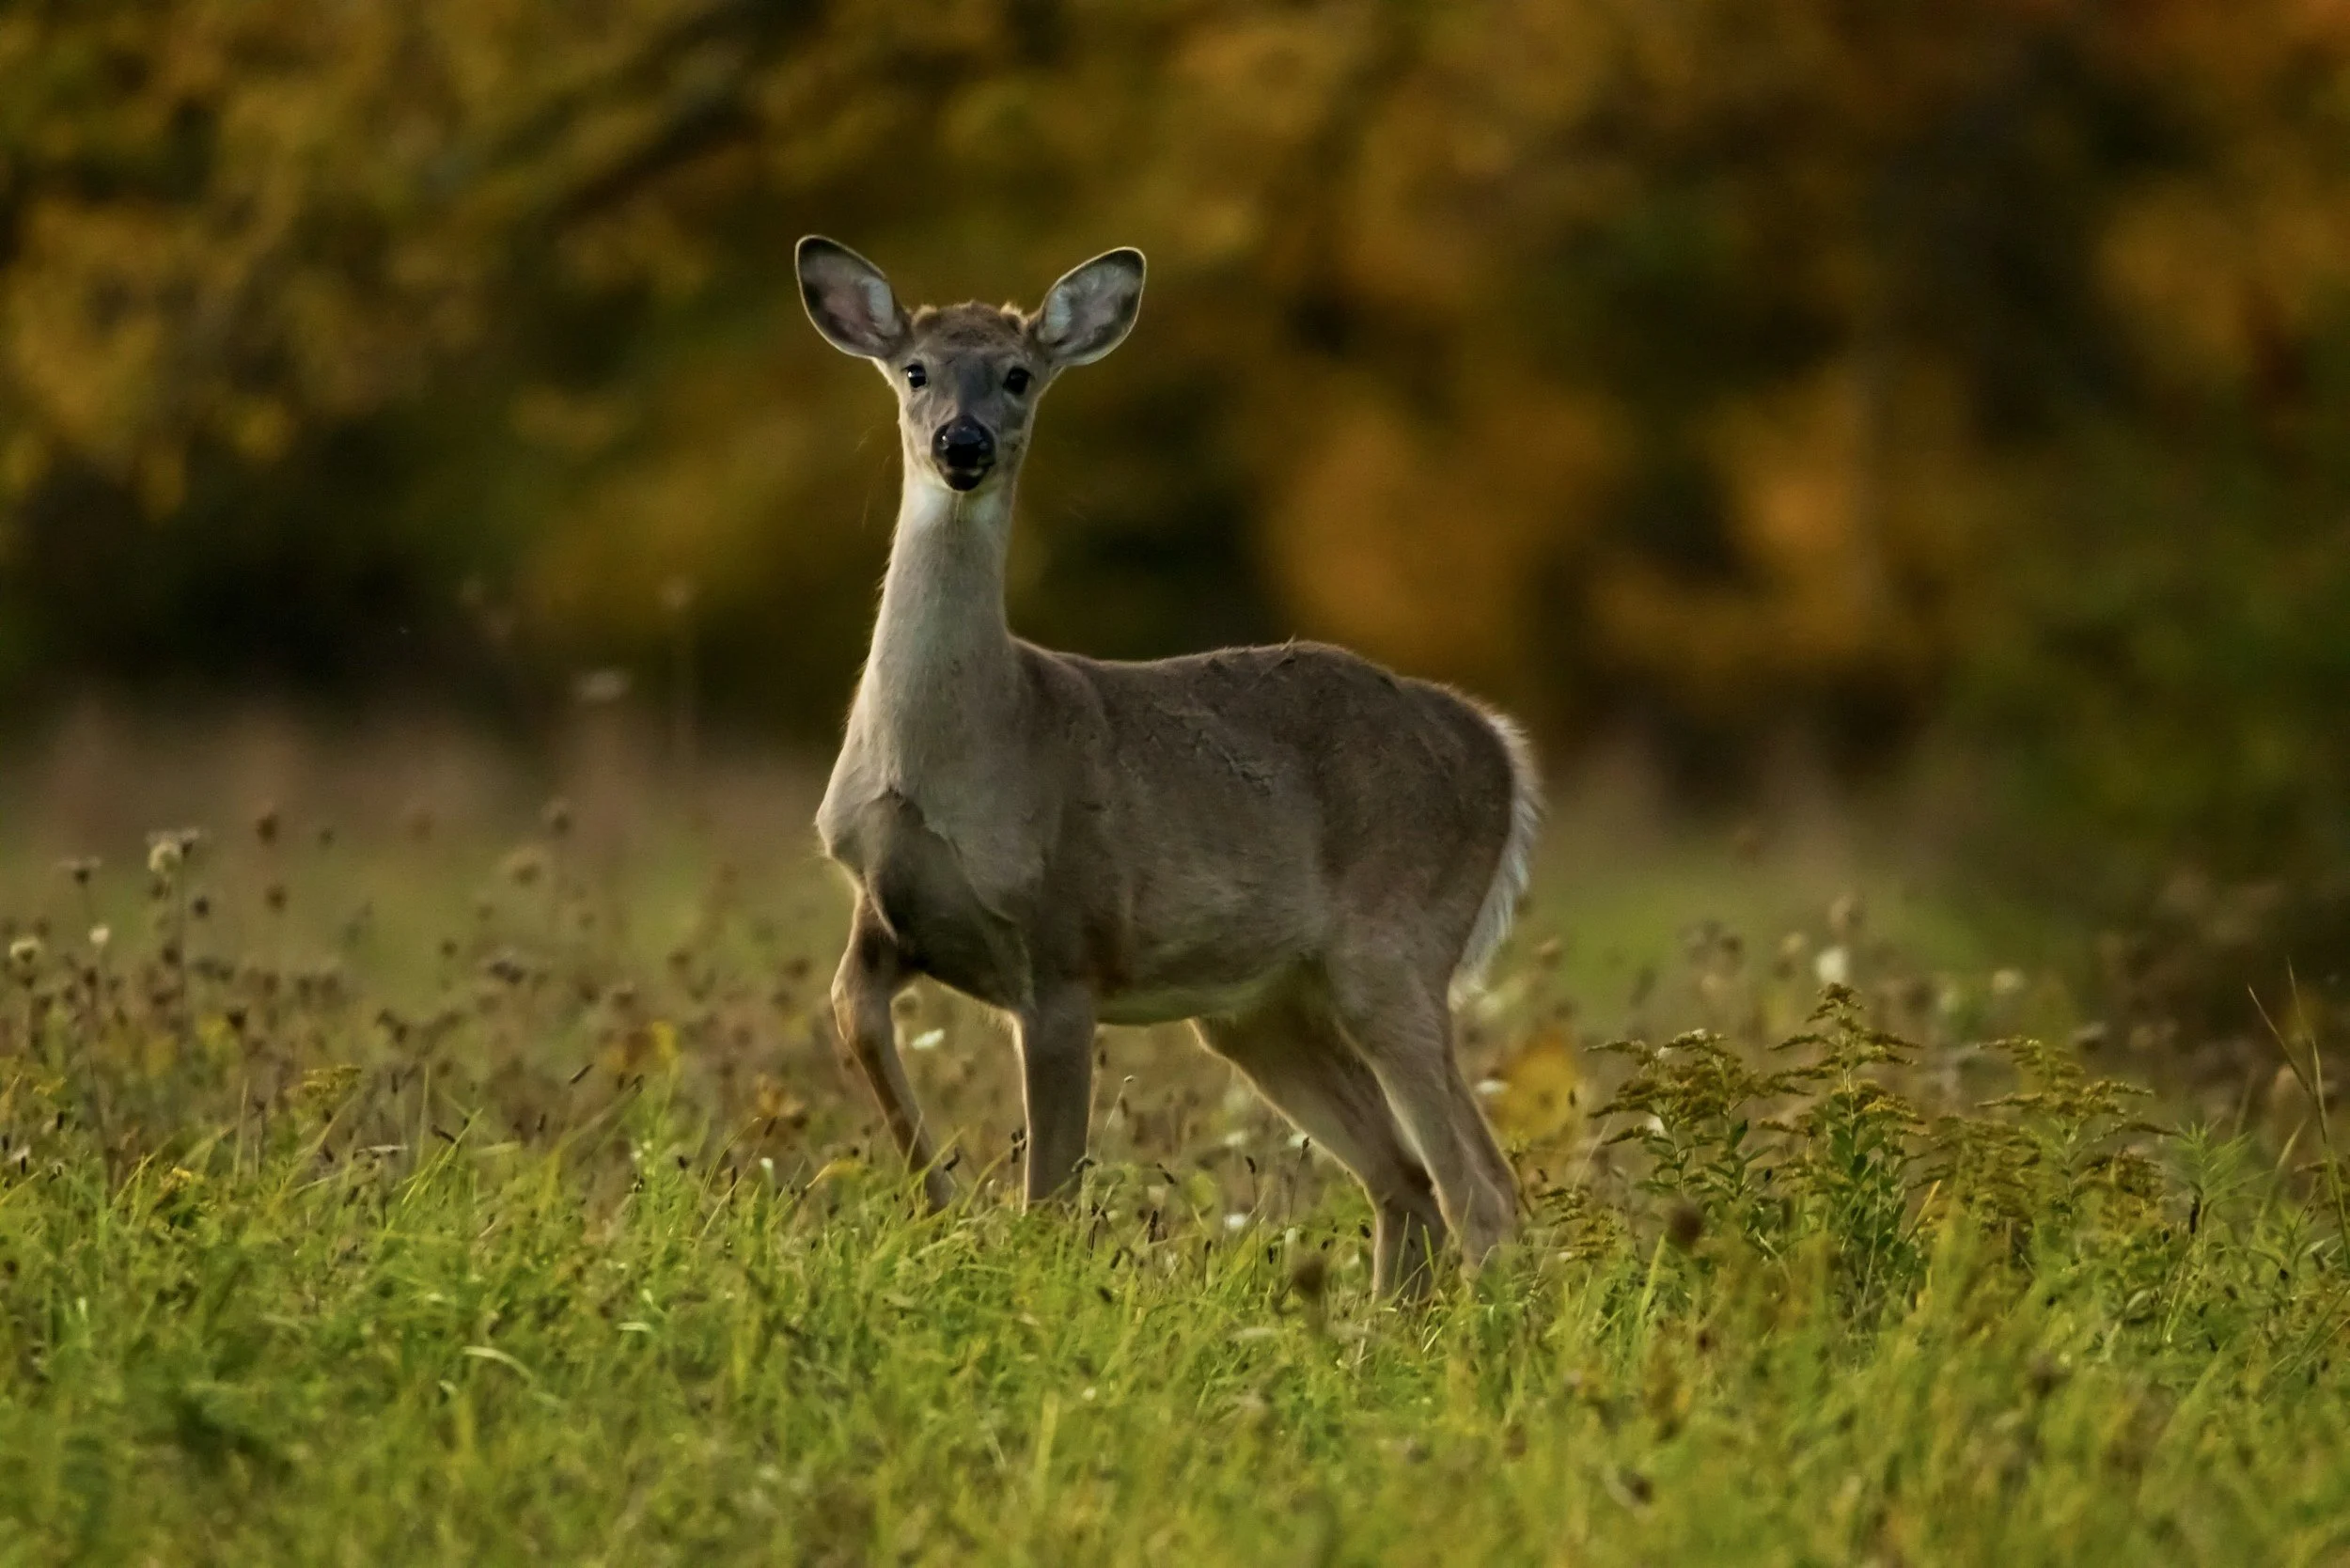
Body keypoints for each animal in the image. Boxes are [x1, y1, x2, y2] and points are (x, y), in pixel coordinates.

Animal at [796, 236, 1541, 1294]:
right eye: (916, 370)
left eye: (1018, 374)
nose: (962, 445)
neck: (954, 754)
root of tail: (1498, 746)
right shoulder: (880, 914)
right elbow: (866, 1046)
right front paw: (943, 1213)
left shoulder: (1067, 947)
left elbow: (1051, 1195)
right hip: (1260, 1007)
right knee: (1404, 1179)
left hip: (1393, 946)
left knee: (1479, 1186)